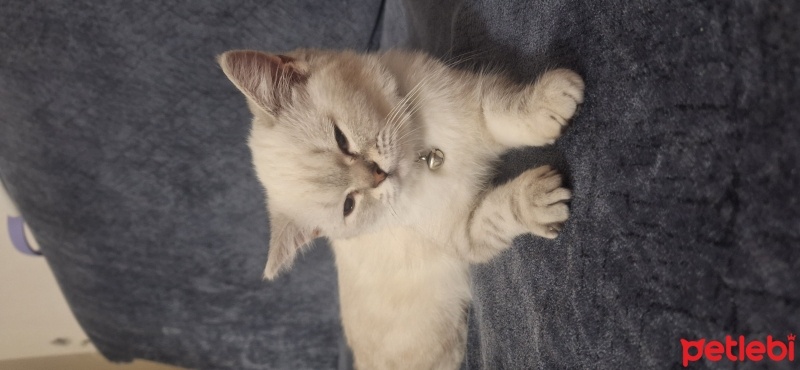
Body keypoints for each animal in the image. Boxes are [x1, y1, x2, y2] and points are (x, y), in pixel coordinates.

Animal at [216, 49, 584, 370]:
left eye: (341, 140)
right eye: (349, 205)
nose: (378, 175)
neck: (427, 159)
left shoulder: (473, 101)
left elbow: (504, 112)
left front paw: (550, 103)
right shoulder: (466, 233)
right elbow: (502, 209)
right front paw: (539, 199)